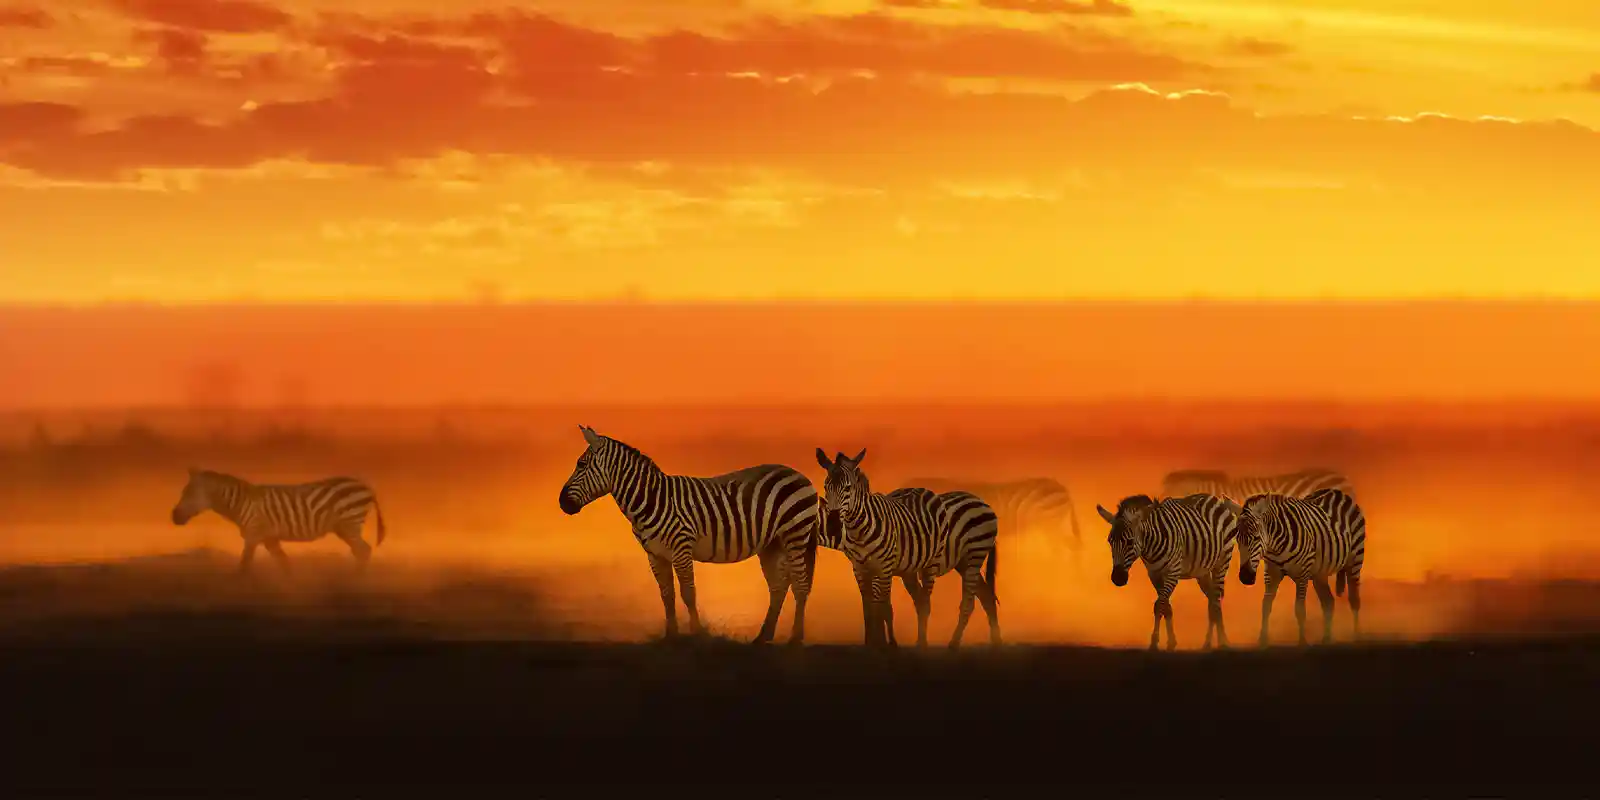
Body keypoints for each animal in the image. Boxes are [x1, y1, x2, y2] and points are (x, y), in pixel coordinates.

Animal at [169, 468, 387, 574]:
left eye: (187, 493)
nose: (174, 517)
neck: (241, 503)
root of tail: (367, 487)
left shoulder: (254, 535)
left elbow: (244, 566)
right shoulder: (269, 538)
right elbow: (284, 563)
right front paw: (289, 589)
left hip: (350, 523)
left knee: (364, 551)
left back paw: (355, 582)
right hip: (344, 528)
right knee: (361, 552)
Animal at [559, 426, 819, 645]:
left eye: (581, 464)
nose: (562, 503)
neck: (651, 499)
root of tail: (800, 475)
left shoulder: (681, 548)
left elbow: (688, 593)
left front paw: (698, 634)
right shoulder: (655, 555)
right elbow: (667, 594)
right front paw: (671, 636)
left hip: (795, 535)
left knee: (800, 584)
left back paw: (795, 639)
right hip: (772, 544)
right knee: (779, 586)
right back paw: (764, 636)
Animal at [816, 448, 1000, 649]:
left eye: (848, 488)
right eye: (826, 486)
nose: (833, 525)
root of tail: (983, 502)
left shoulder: (884, 568)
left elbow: (883, 607)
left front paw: (886, 644)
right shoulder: (862, 568)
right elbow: (870, 608)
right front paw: (872, 644)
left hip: (972, 555)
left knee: (966, 602)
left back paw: (951, 643)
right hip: (964, 562)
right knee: (986, 597)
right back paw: (995, 641)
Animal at [1096, 493, 1241, 651]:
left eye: (1130, 541)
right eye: (1110, 541)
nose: (1117, 578)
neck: (1150, 546)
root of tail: (1215, 499)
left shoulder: (1172, 573)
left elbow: (1159, 605)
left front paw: (1154, 642)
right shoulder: (1154, 575)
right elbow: (1166, 607)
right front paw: (1171, 642)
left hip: (1222, 562)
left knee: (1215, 602)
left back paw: (1216, 643)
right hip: (1202, 572)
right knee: (1213, 601)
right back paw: (1215, 642)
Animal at [1236, 489, 1366, 647]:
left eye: (1255, 538)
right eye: (1237, 540)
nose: (1245, 577)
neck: (1274, 546)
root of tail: (1338, 492)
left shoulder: (1302, 574)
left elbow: (1299, 610)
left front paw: (1302, 642)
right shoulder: (1272, 573)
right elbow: (1265, 606)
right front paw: (1262, 640)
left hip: (1355, 560)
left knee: (1354, 600)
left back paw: (1356, 636)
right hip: (1320, 574)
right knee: (1329, 602)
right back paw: (1327, 639)